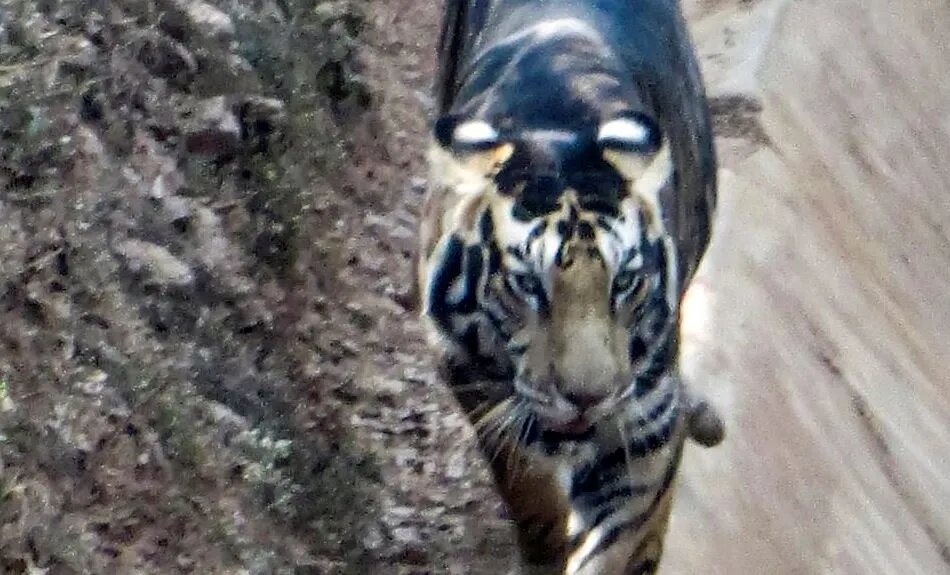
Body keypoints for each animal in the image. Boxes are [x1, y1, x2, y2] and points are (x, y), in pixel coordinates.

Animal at [415, 0, 725, 573]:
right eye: (527, 286)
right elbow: (527, 484)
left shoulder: (643, 429)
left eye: (625, 282)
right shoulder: (467, 373)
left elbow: (619, 543)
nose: (587, 398)